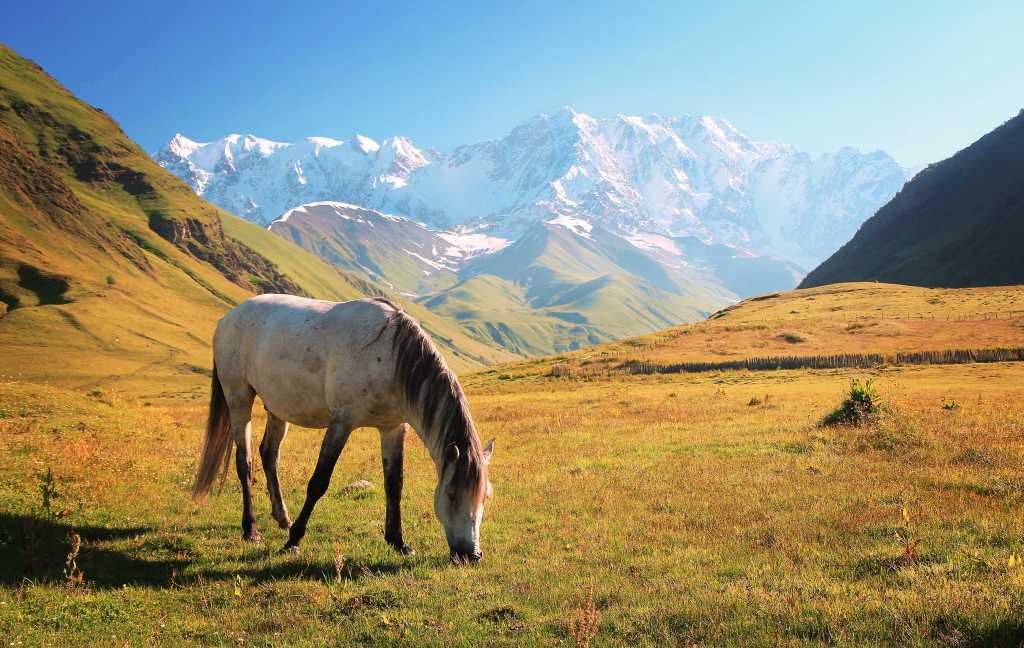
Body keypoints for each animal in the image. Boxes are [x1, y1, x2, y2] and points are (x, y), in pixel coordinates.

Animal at [191, 294, 493, 562]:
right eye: (452, 495)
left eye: (485, 497)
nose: (471, 555)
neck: (390, 357)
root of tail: (228, 317)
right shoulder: (341, 423)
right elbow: (318, 482)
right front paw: (293, 541)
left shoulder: (393, 428)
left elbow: (394, 484)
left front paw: (398, 541)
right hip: (239, 398)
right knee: (245, 462)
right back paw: (251, 529)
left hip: (276, 407)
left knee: (269, 455)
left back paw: (283, 518)